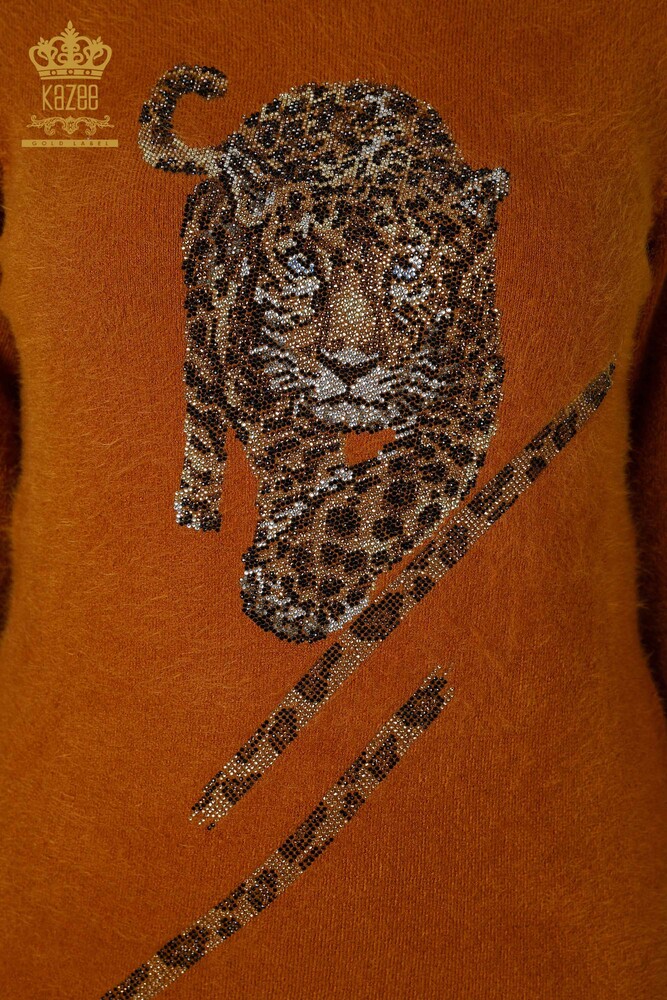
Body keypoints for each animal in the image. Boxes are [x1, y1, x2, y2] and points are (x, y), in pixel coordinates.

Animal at [137, 64, 511, 643]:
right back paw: (196, 517)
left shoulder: (469, 384)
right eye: (301, 263)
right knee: (202, 432)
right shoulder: (250, 357)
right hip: (201, 331)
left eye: (406, 269)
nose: (348, 366)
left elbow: (396, 489)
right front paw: (291, 580)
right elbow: (300, 456)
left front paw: (294, 585)